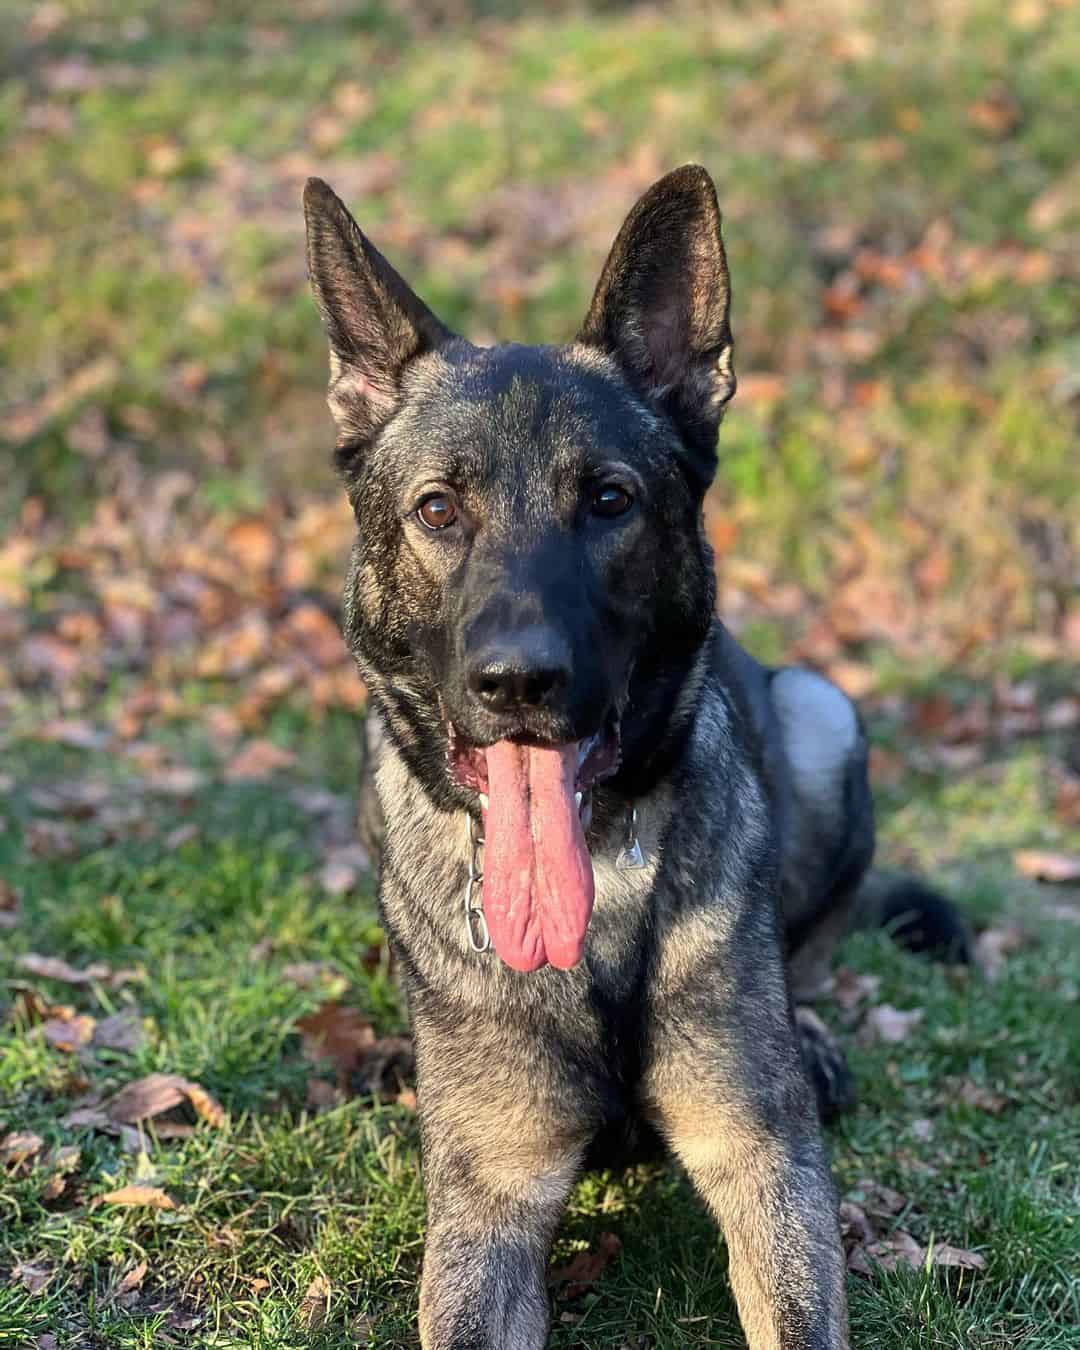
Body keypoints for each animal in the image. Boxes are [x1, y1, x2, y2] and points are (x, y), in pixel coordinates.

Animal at [299, 168, 966, 1350]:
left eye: (608, 499)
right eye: (439, 510)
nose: (518, 684)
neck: (599, 900)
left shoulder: (763, 1166)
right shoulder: (491, 1207)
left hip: (824, 713)